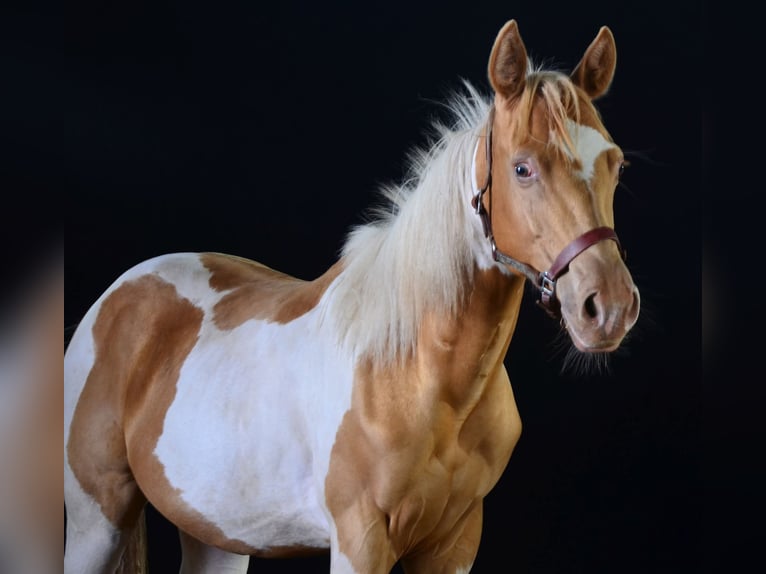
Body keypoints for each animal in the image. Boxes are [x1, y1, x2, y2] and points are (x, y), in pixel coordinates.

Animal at [64, 19, 640, 573]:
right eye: (522, 167)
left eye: (616, 164)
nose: (608, 307)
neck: (417, 371)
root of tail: (116, 295)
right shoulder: (360, 540)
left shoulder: (455, 542)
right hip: (98, 521)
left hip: (216, 535)